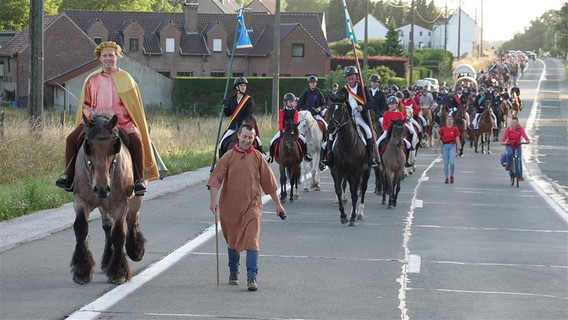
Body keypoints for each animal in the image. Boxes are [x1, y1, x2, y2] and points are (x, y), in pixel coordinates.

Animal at [70, 113, 146, 284]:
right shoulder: (80, 199)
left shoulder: (121, 203)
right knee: (107, 226)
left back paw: (135, 249)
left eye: (114, 145)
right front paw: (81, 270)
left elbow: (118, 233)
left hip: (135, 199)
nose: (102, 188)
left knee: (132, 219)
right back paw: (107, 260)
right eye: (88, 145)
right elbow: (81, 229)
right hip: (103, 204)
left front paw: (118, 272)